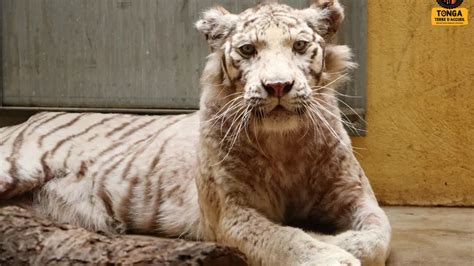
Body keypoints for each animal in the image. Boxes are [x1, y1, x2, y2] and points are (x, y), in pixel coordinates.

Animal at [0, 1, 390, 264]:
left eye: (299, 45)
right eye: (248, 50)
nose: (278, 86)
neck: (285, 143)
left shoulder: (357, 196)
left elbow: (378, 235)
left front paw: (334, 239)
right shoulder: (232, 213)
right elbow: (284, 238)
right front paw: (326, 247)